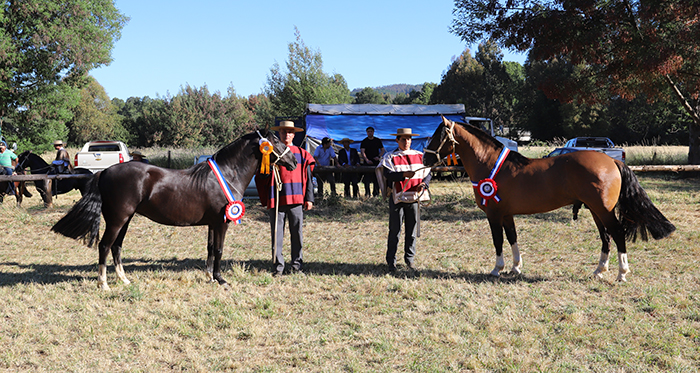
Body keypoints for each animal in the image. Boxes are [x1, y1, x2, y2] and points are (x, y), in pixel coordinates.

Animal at [52, 129, 296, 290]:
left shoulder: (212, 223)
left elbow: (209, 249)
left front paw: (209, 276)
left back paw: (124, 279)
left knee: (116, 246)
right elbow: (218, 250)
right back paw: (103, 284)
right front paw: (221, 279)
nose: (293, 161)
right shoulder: (221, 222)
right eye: (275, 141)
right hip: (117, 219)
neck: (227, 175)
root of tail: (105, 171)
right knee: (104, 245)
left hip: (125, 219)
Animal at [424, 117, 676, 280]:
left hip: (603, 210)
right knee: (606, 237)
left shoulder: (494, 214)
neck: (491, 165)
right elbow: (512, 238)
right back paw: (599, 271)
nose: (425, 159)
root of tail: (613, 161)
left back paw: (622, 273)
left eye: (438, 136)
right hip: (596, 210)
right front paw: (515, 268)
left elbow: (498, 241)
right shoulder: (506, 214)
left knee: (617, 233)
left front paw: (497, 269)